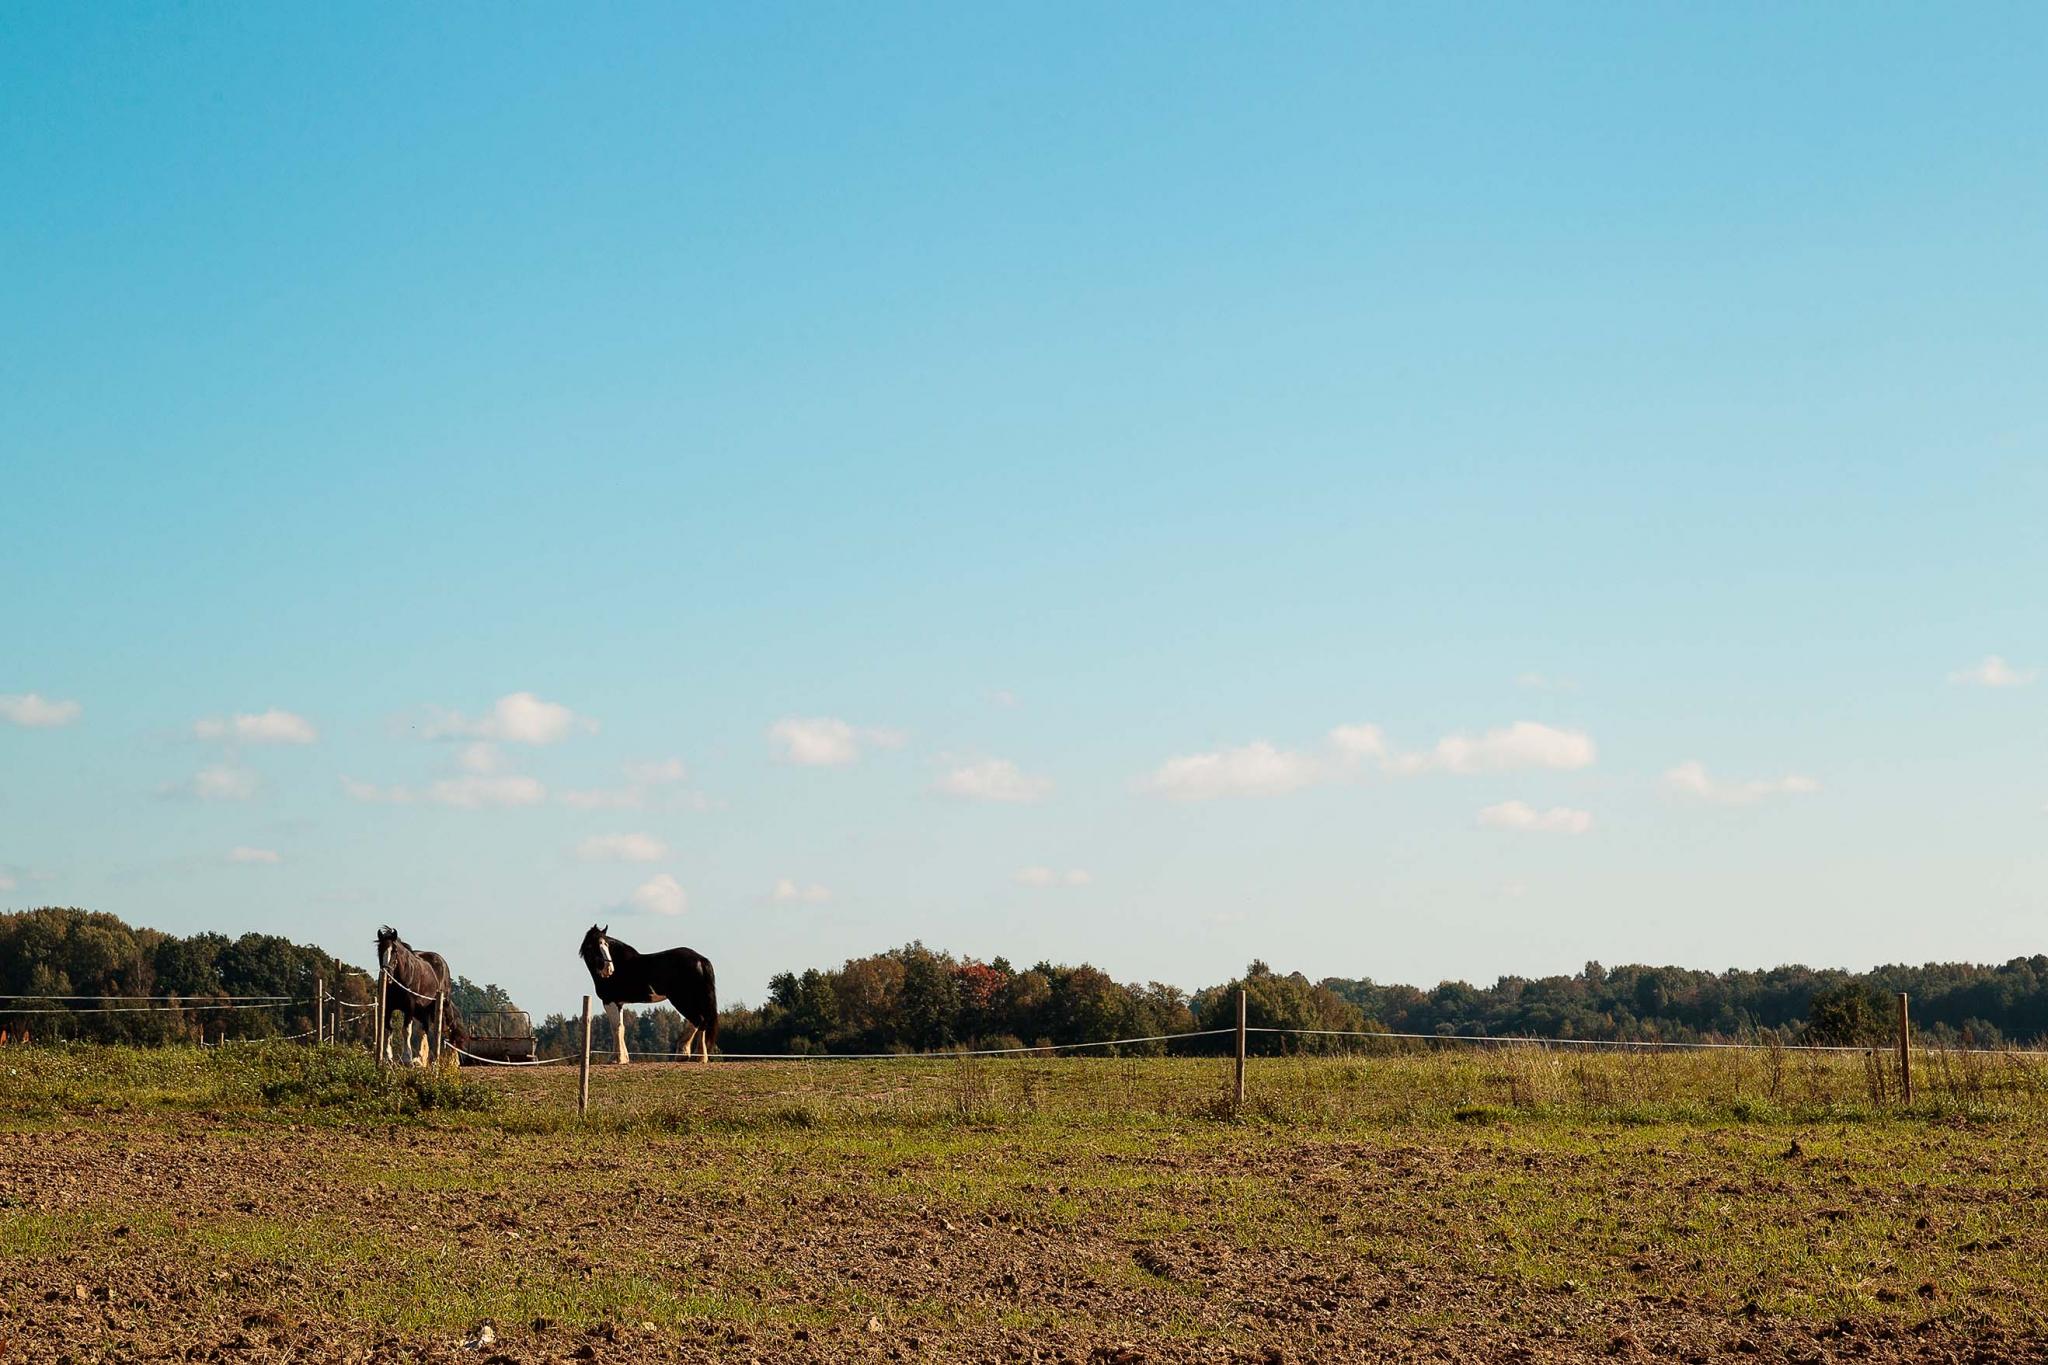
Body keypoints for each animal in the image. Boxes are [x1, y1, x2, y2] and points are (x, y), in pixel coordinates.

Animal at [374, 927, 467, 1066]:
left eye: (394, 951)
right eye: (379, 949)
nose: (387, 974)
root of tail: (442, 962)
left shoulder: (409, 1007)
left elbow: (406, 1030)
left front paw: (406, 1058)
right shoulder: (388, 1007)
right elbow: (388, 1029)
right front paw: (387, 1057)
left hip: (441, 1007)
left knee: (449, 1029)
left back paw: (451, 1060)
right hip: (422, 1010)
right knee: (425, 1029)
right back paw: (419, 1059)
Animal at [577, 925, 717, 1064]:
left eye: (606, 945)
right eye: (594, 946)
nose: (608, 969)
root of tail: (701, 959)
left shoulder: (609, 1001)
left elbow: (615, 1028)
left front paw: (616, 1058)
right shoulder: (618, 1003)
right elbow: (621, 1028)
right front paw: (624, 1058)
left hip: (682, 999)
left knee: (698, 1020)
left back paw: (688, 1054)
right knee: (702, 1021)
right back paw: (695, 1056)